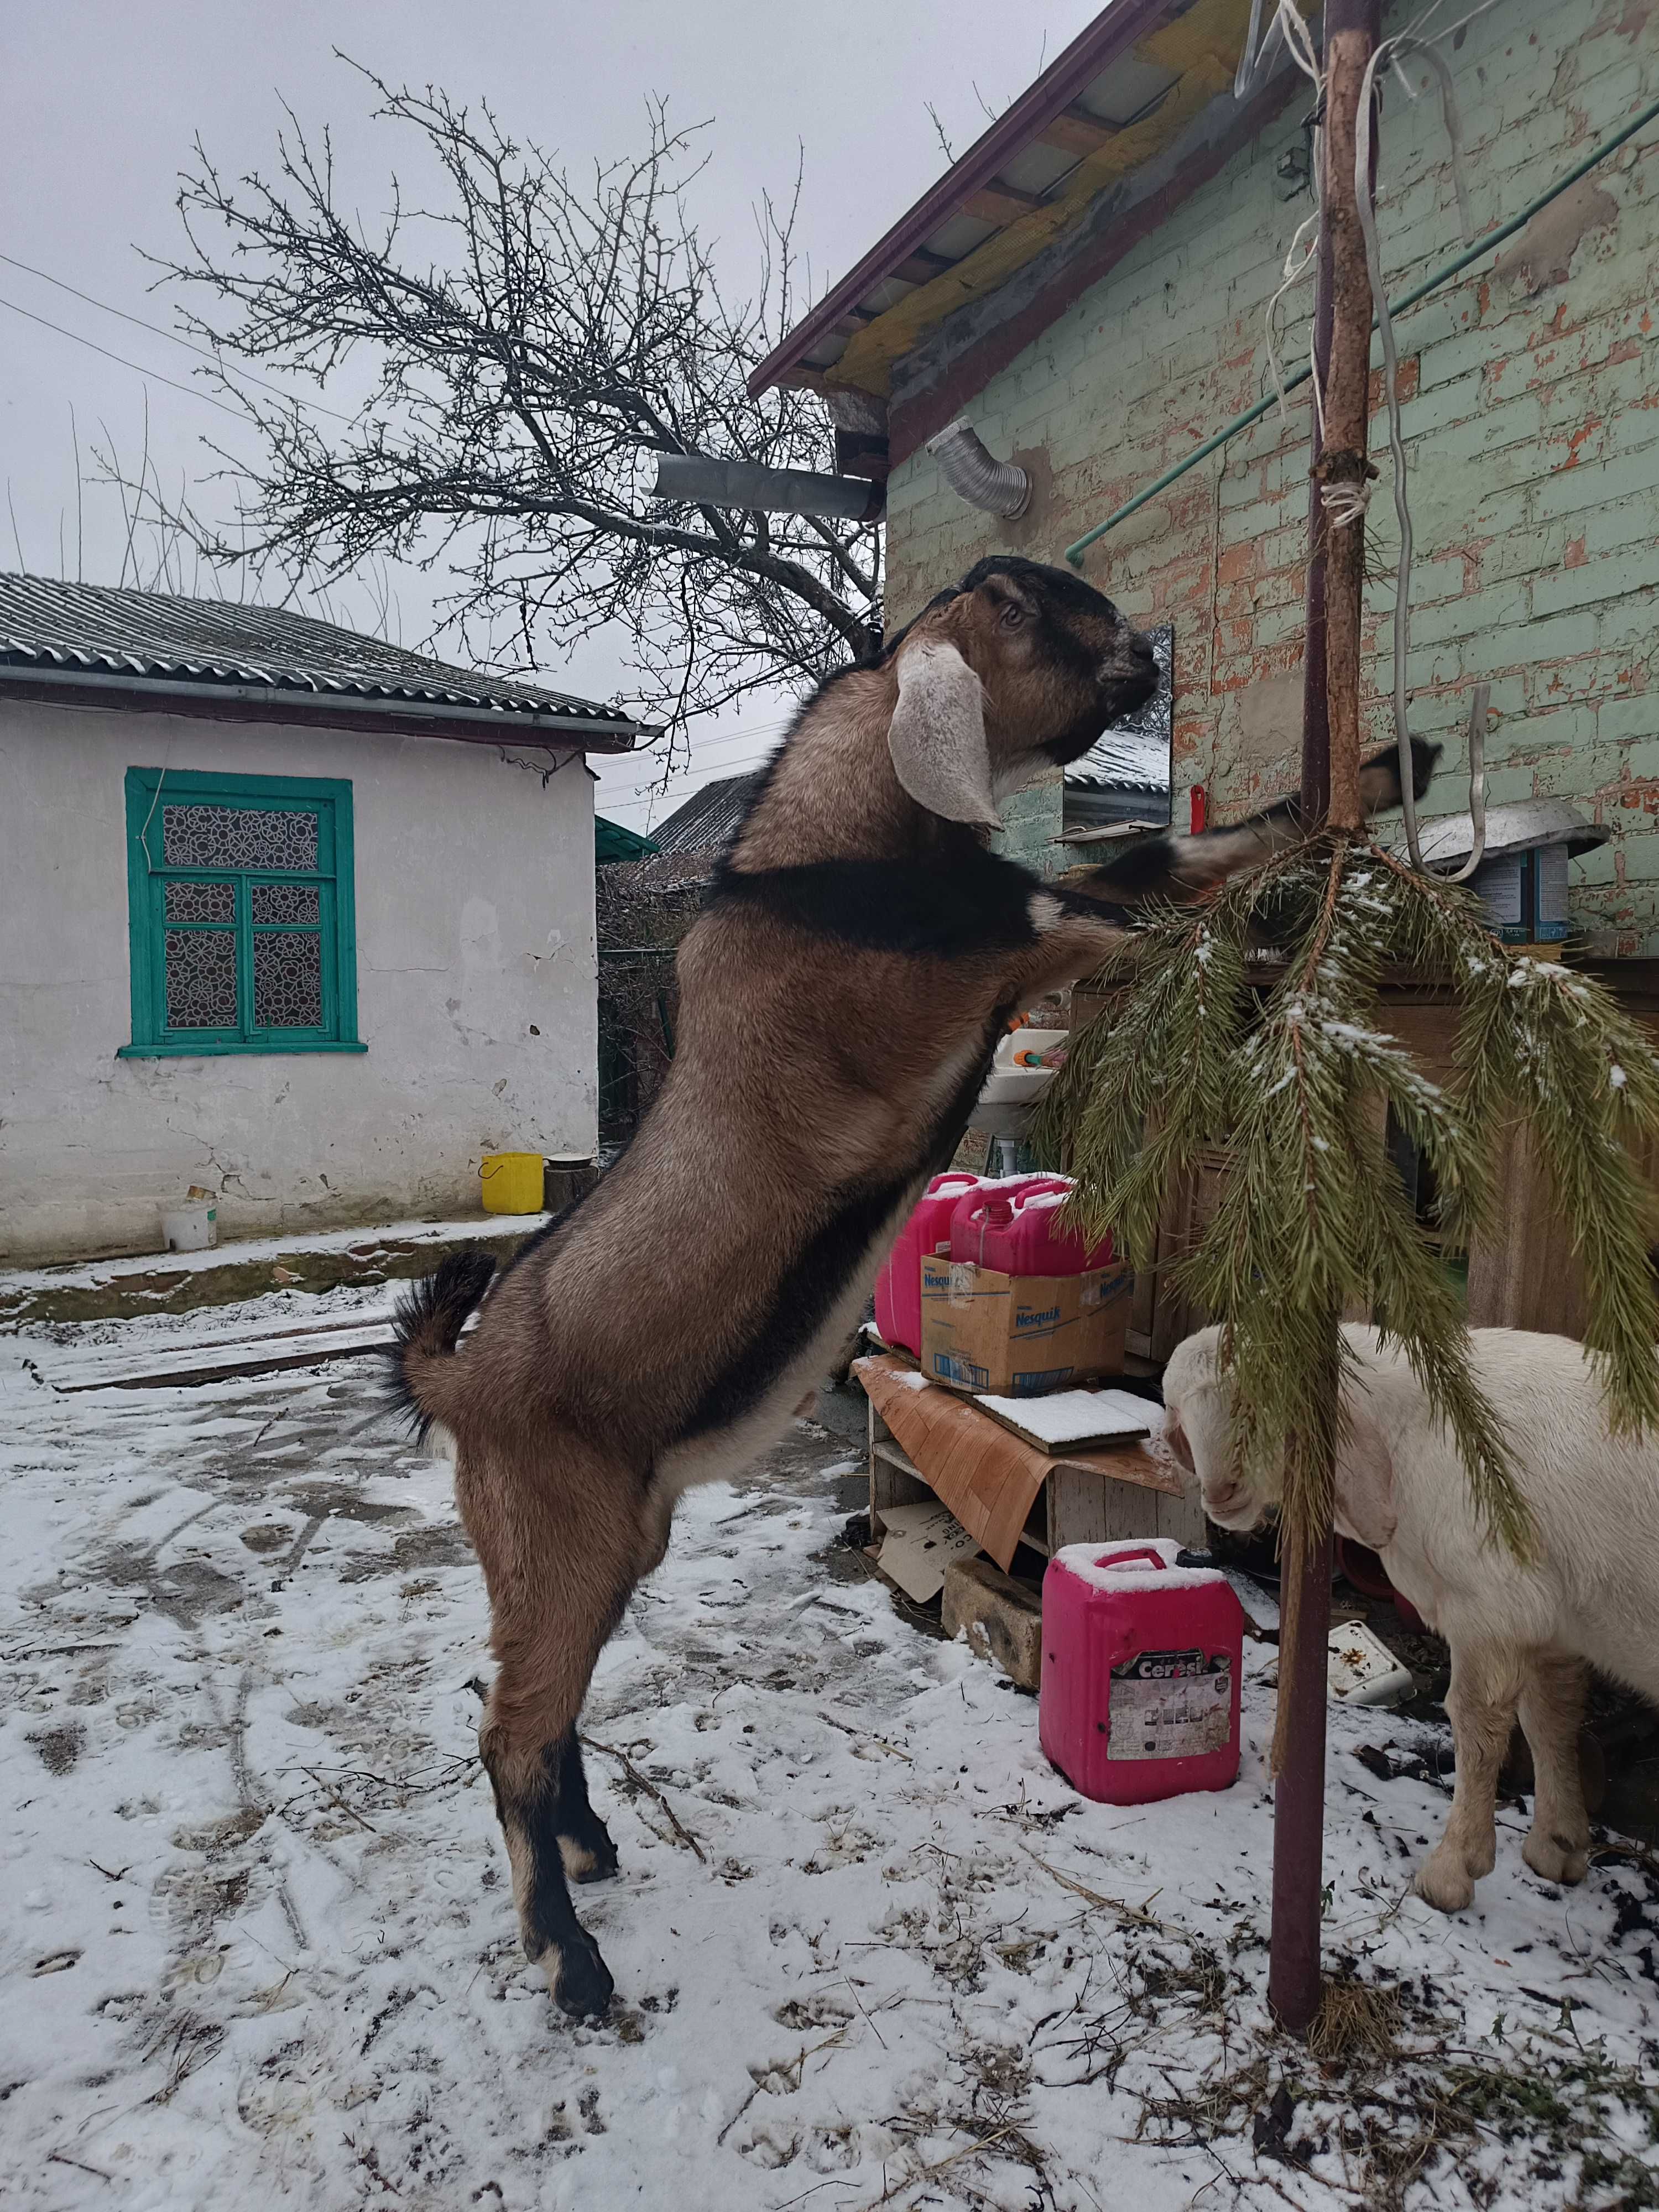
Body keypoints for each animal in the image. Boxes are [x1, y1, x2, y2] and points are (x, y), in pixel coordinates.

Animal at [394, 557, 1442, 2026]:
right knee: (509, 1733)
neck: (814, 864)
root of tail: (463, 1375)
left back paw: (595, 1850)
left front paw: (1386, 767)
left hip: (608, 1542)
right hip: (559, 1537)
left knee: (550, 1712)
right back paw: (570, 1956)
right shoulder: (1012, 948)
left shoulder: (1021, 917)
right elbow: (1142, 885)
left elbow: (1171, 854)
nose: (1146, 656)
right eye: (1033, 604)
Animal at [1159, 1327, 1659, 1920]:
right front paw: (1556, 1844)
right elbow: (1550, 1719)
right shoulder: (1550, 1619)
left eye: (1266, 1398)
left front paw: (1454, 1869)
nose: (1221, 1494)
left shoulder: (1491, 1605)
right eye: (1182, 1415)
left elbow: (1477, 1726)